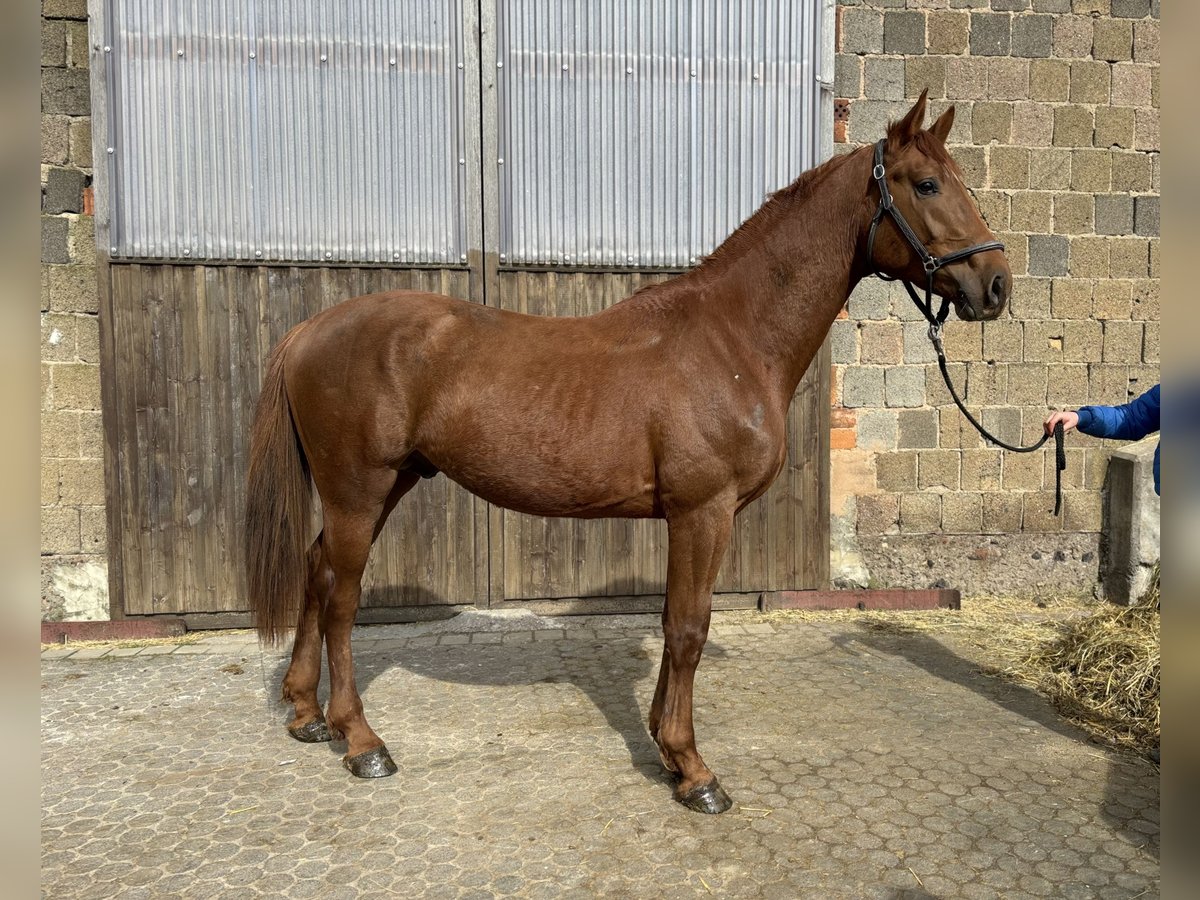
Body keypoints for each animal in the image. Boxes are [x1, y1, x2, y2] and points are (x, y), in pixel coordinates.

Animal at [246, 95, 1012, 816]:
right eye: (927, 184)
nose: (997, 285)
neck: (731, 339)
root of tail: (311, 328)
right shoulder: (703, 512)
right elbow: (688, 628)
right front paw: (694, 770)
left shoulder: (692, 518)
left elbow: (677, 626)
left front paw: (666, 749)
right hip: (359, 489)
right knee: (341, 596)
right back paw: (361, 740)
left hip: (385, 485)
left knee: (317, 571)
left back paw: (307, 713)